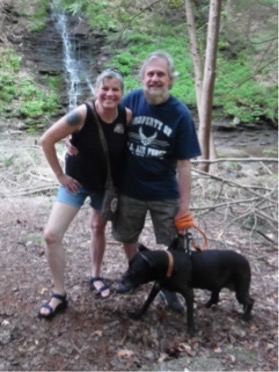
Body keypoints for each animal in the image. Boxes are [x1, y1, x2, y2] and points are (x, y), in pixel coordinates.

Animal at [121, 238, 255, 338]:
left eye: (134, 270)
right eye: (128, 265)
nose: (121, 279)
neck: (170, 265)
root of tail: (246, 260)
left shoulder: (189, 293)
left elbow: (190, 314)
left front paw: (191, 330)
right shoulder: (157, 286)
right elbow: (147, 302)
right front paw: (137, 314)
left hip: (240, 291)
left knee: (251, 301)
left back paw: (246, 317)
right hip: (216, 284)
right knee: (215, 296)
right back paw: (207, 305)